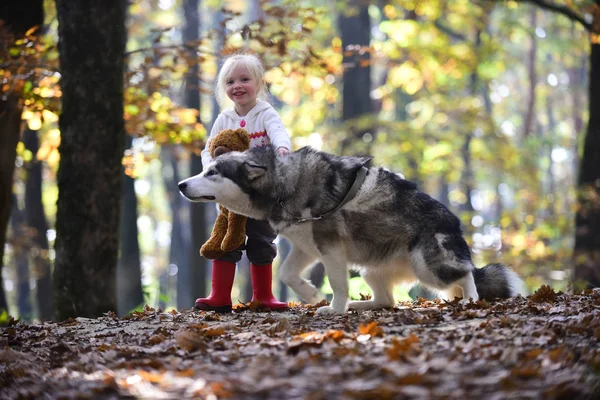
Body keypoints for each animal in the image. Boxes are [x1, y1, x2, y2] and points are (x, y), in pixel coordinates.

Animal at [178, 145, 524, 314]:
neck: (284, 185)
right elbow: (286, 274)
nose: (181, 184)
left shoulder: (330, 249)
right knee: (386, 301)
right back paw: (362, 305)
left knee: (466, 276)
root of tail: (455, 228)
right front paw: (312, 294)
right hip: (371, 270)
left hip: (427, 268)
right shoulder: (307, 247)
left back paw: (470, 301)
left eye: (212, 173)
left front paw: (334, 309)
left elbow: (336, 283)